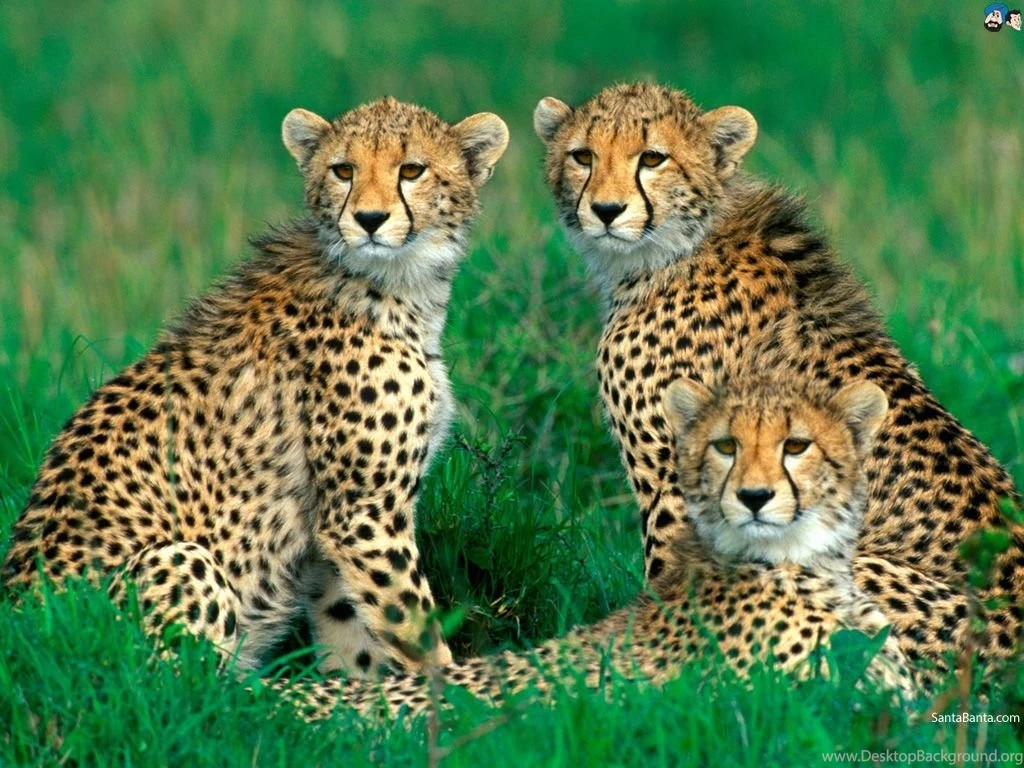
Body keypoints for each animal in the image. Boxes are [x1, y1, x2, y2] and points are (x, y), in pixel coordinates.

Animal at [2, 97, 509, 679]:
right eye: (343, 170)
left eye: (412, 170)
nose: (369, 219)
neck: (390, 282)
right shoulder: (363, 514)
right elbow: (415, 627)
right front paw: (456, 690)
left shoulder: (333, 529)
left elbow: (352, 631)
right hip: (179, 559)